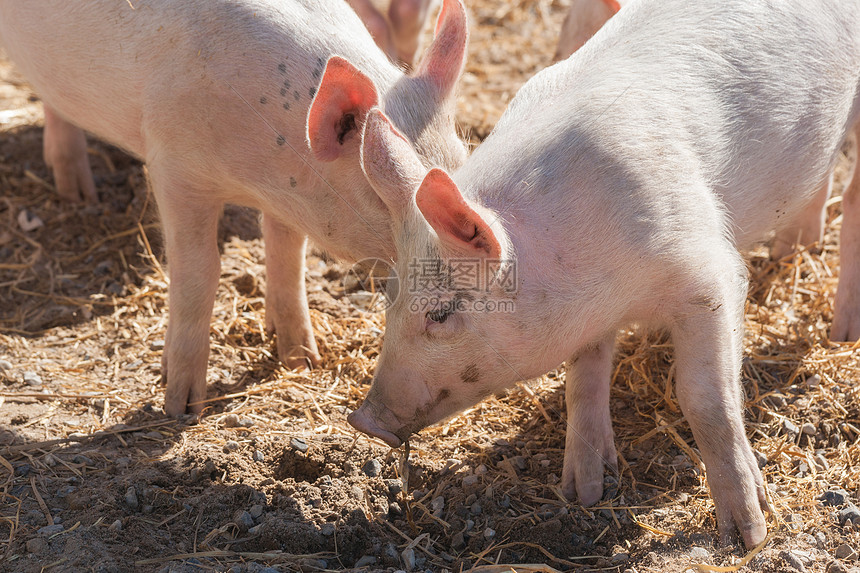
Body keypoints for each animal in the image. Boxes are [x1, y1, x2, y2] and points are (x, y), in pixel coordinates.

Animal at [350, 0, 860, 548]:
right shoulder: (588, 315)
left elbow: (706, 398)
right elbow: (584, 376)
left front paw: (748, 535)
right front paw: (584, 492)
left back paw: (843, 334)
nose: (364, 419)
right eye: (389, 296)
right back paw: (794, 250)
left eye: (441, 313)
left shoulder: (709, 273)